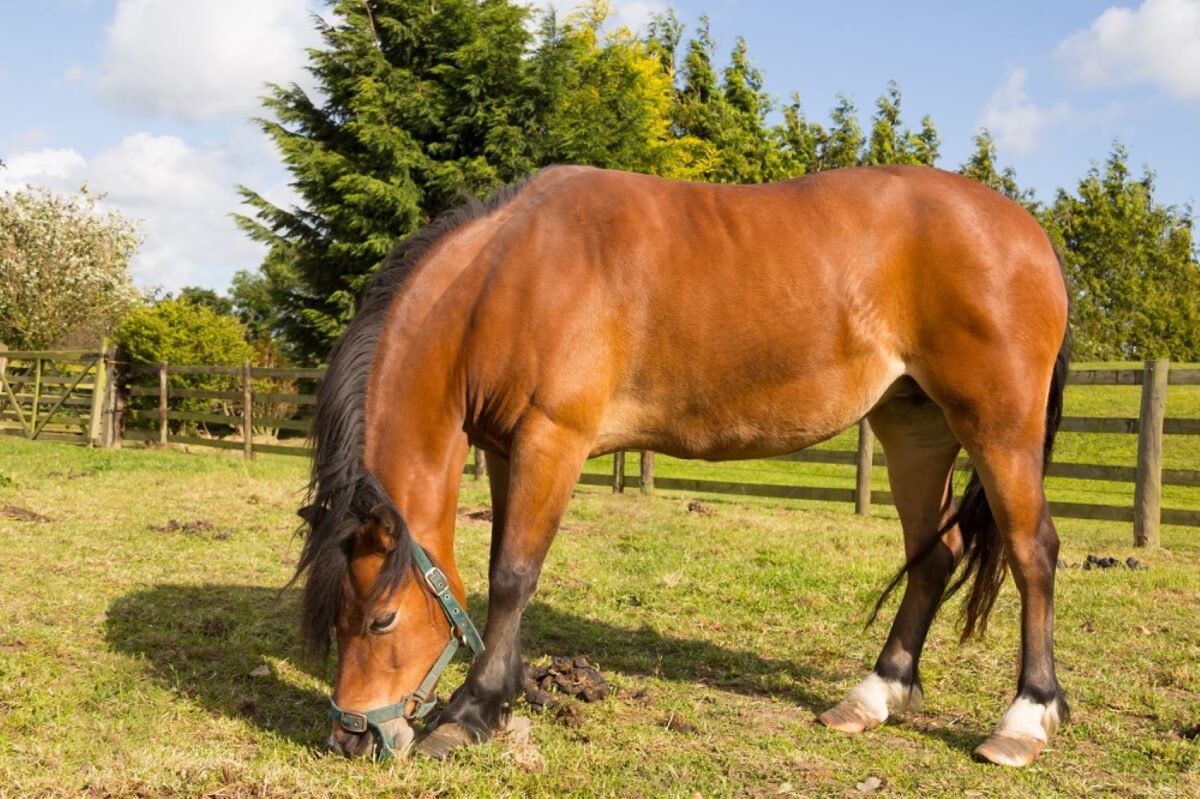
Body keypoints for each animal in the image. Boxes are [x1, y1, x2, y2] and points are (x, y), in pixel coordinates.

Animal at [295, 164, 1071, 768]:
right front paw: (506, 695)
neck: (511, 277)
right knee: (935, 554)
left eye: (383, 620)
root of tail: (1028, 233)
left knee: (1033, 551)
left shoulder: (552, 440)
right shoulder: (505, 449)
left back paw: (1024, 719)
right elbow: (499, 569)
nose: (348, 740)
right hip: (914, 426)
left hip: (997, 425)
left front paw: (470, 712)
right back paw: (873, 695)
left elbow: (513, 575)